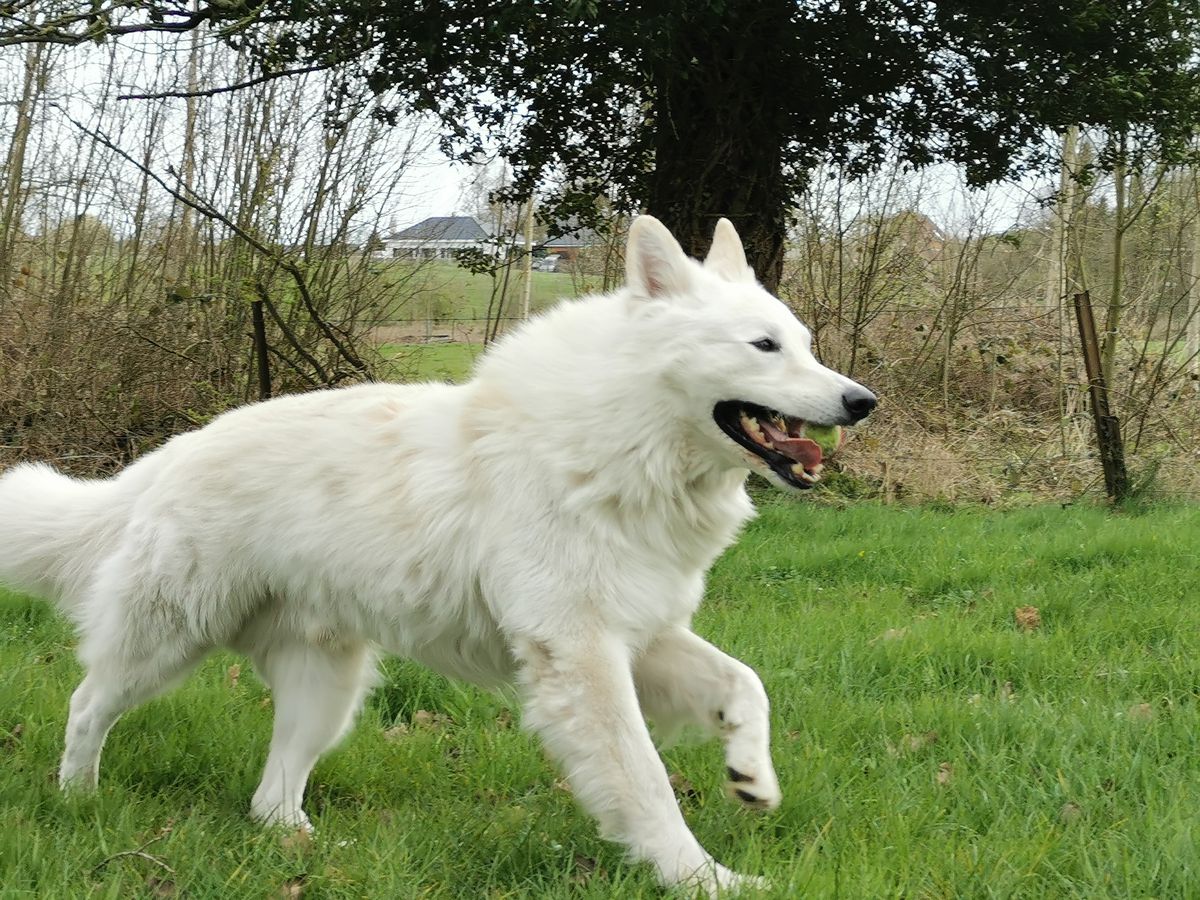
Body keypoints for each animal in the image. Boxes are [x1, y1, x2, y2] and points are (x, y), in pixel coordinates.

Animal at [0, 216, 874, 894]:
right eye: (763, 346)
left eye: (804, 344)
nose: (862, 402)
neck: (623, 437)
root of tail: (172, 454)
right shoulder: (583, 655)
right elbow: (646, 782)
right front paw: (700, 879)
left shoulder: (641, 637)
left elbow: (745, 684)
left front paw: (752, 775)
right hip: (168, 639)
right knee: (88, 706)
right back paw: (77, 800)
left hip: (325, 691)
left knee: (271, 796)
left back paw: (303, 849)